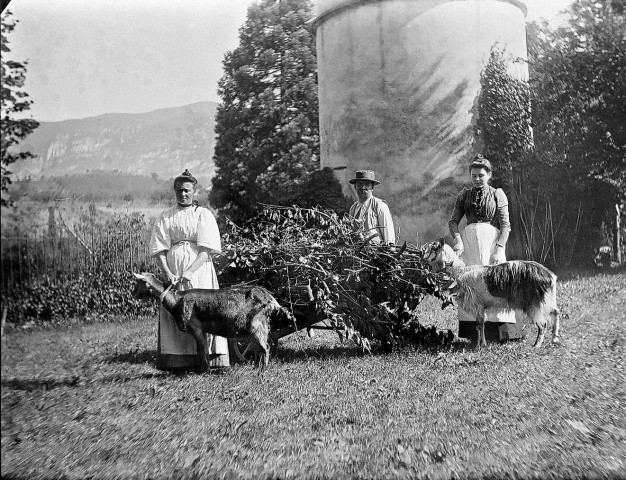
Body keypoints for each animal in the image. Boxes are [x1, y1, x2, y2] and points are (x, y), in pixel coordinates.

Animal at [130, 274, 294, 372]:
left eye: (139, 282)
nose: (133, 294)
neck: (177, 300)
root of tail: (271, 299)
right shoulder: (202, 330)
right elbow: (203, 349)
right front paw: (206, 368)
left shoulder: (195, 328)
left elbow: (201, 349)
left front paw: (204, 370)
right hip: (258, 326)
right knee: (259, 347)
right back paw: (255, 366)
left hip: (256, 324)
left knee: (265, 347)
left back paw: (262, 370)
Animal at [422, 239, 560, 348]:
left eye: (432, 247)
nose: (422, 257)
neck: (460, 272)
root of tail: (550, 276)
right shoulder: (481, 306)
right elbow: (481, 324)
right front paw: (482, 344)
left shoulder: (477, 304)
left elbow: (478, 325)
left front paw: (479, 346)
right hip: (547, 299)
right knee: (556, 312)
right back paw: (554, 339)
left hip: (534, 303)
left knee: (543, 324)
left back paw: (537, 345)